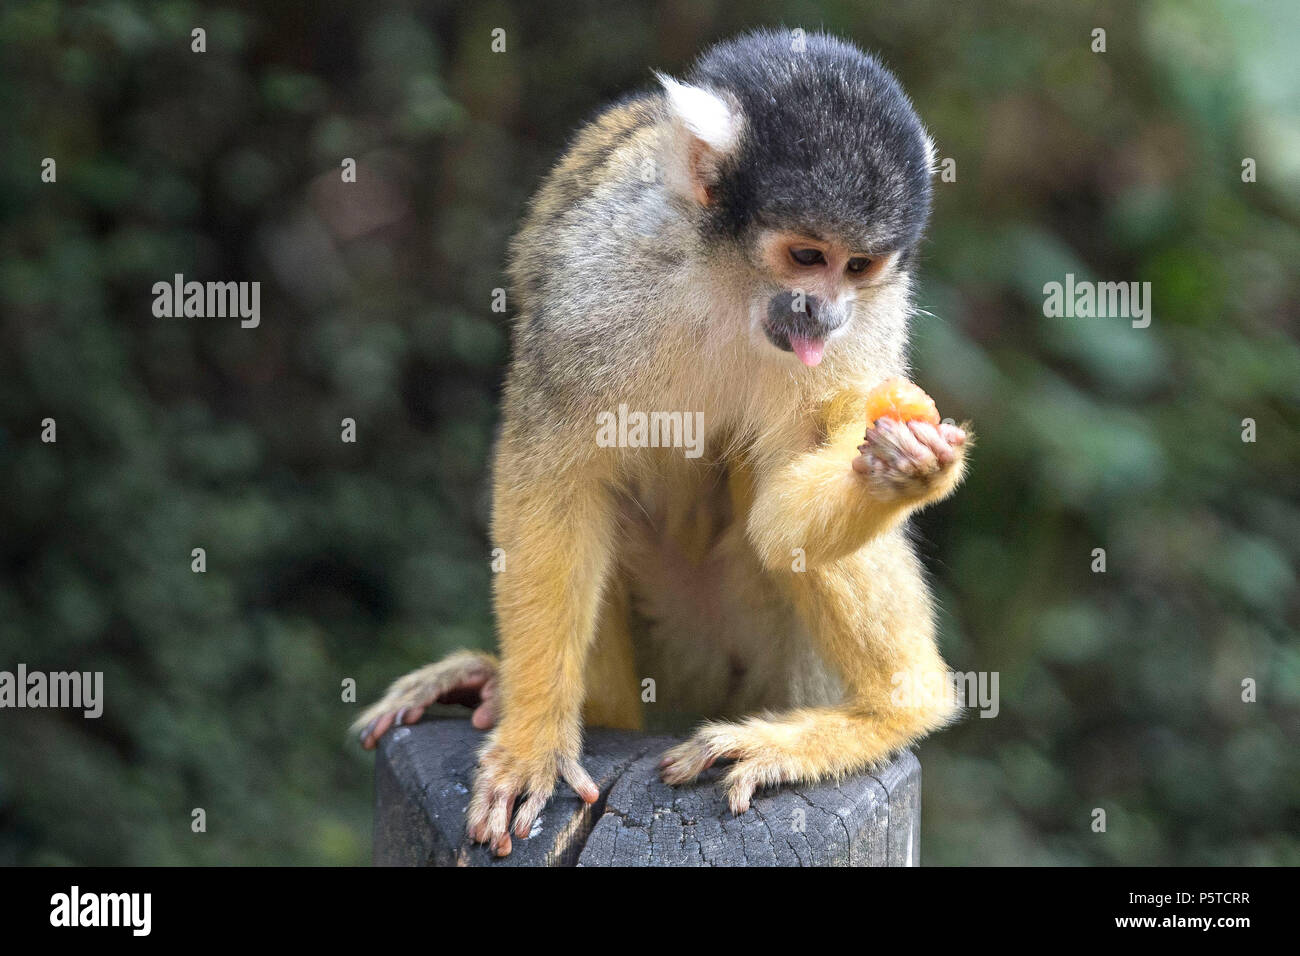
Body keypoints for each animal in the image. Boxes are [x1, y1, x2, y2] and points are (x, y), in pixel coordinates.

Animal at [353, 29, 967, 858]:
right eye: (808, 256)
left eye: (859, 266)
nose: (826, 313)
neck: (730, 280)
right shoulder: (600, 272)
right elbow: (554, 473)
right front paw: (533, 744)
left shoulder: (869, 324)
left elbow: (777, 515)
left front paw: (898, 473)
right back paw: (543, 698)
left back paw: (890, 712)